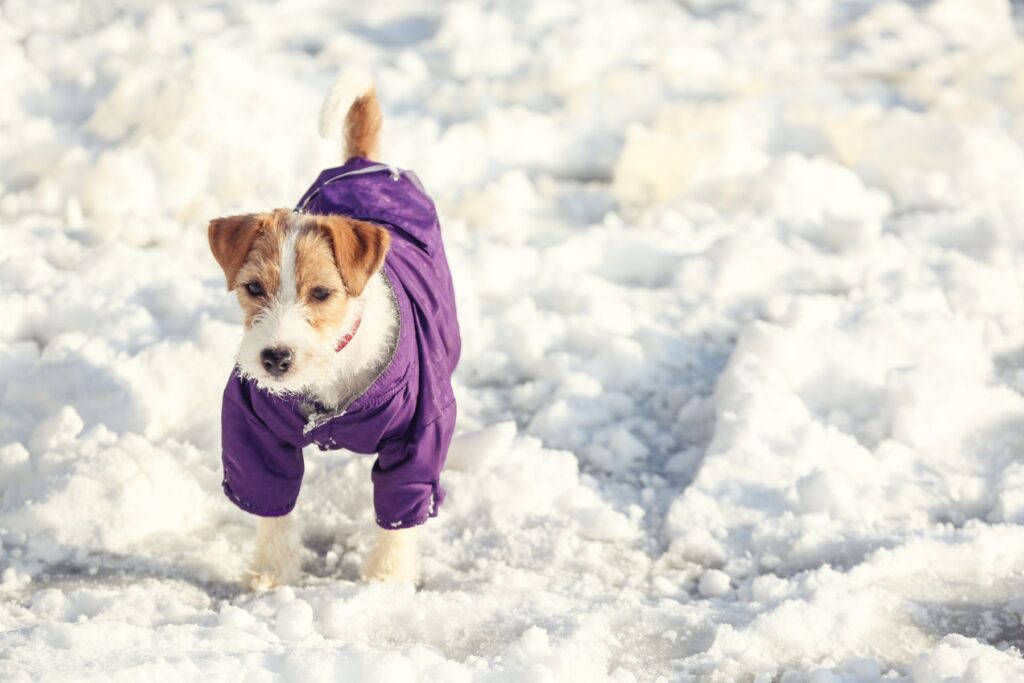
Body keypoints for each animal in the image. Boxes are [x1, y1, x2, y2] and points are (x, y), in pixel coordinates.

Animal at [206, 70, 460, 593]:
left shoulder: (420, 440)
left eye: (321, 293)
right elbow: (272, 505)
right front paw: (272, 575)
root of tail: (364, 162)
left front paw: (385, 582)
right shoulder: (253, 433)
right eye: (253, 287)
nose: (275, 358)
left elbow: (400, 516)